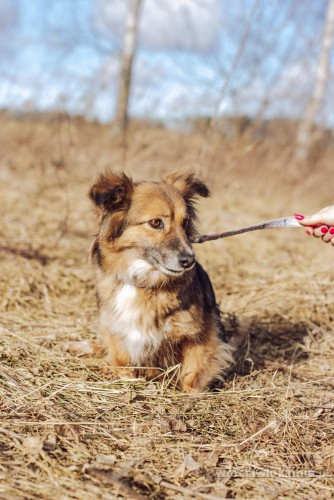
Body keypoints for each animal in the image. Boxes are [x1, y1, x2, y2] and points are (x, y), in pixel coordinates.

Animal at [76, 172, 234, 394]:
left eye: (185, 222)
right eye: (156, 223)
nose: (189, 260)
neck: (143, 280)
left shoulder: (201, 332)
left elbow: (192, 372)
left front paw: (192, 395)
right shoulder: (117, 329)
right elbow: (123, 363)